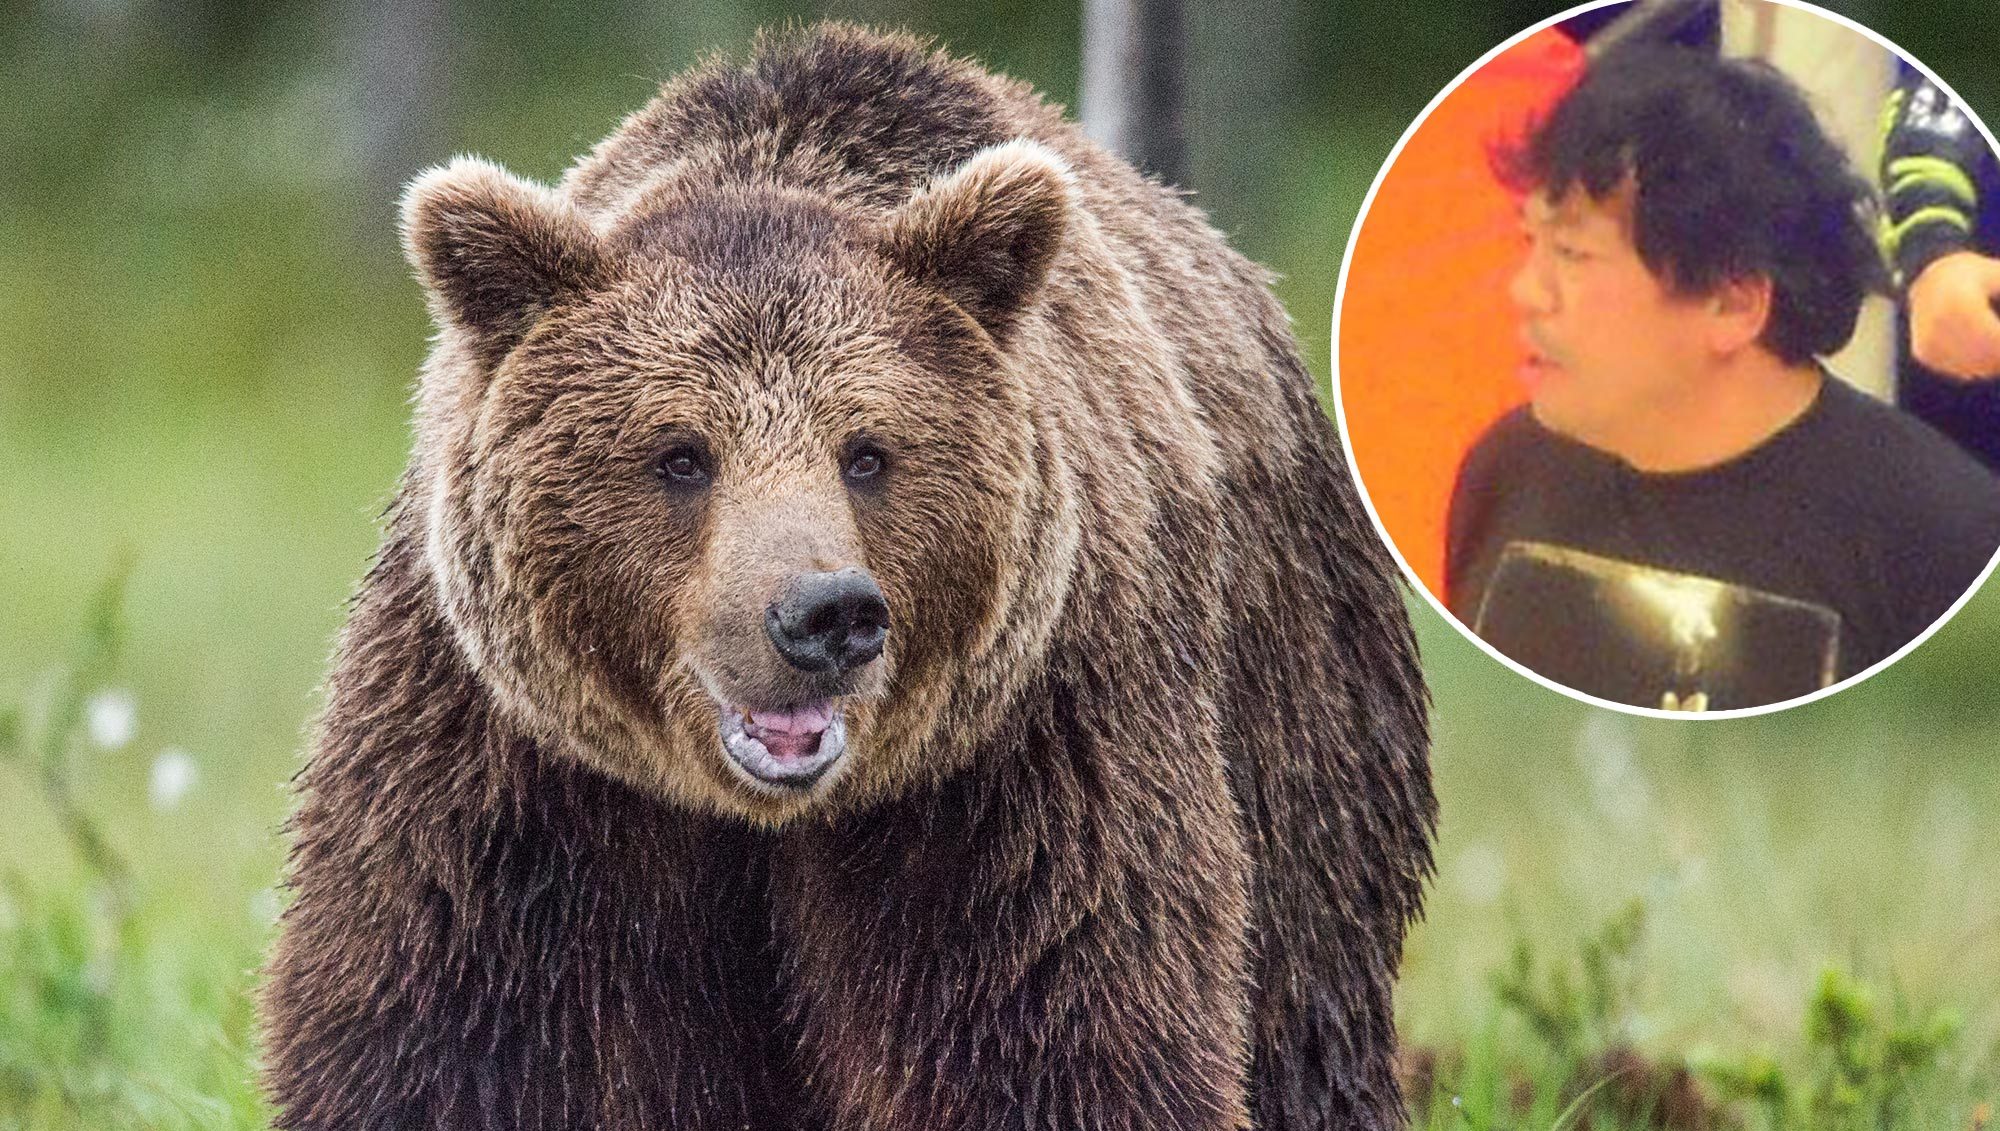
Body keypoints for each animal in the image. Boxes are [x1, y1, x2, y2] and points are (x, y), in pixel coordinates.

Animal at [259, 22, 1434, 1131]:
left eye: (866, 452)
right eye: (679, 454)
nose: (824, 614)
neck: (756, 818)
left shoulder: (1023, 753)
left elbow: (1048, 1017)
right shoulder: (517, 764)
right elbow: (463, 1022)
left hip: (1293, 691)